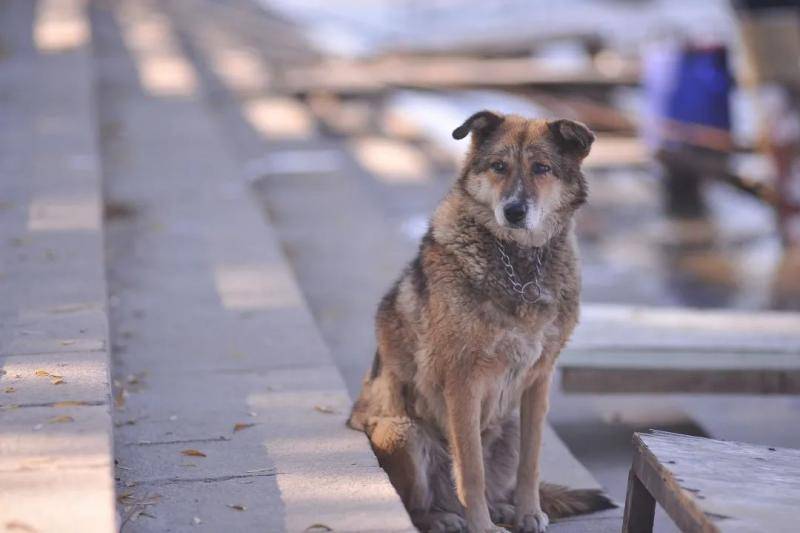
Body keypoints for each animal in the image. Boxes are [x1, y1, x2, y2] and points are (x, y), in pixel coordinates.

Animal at [346, 110, 616, 528]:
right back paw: (445, 517)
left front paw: (528, 513)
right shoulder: (463, 381)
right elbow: (470, 468)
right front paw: (482, 528)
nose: (514, 211)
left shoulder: (539, 379)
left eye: (542, 168)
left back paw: (503, 508)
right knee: (415, 504)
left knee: (498, 482)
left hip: (508, 427)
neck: (520, 263)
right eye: (498, 167)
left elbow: (530, 463)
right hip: (404, 431)